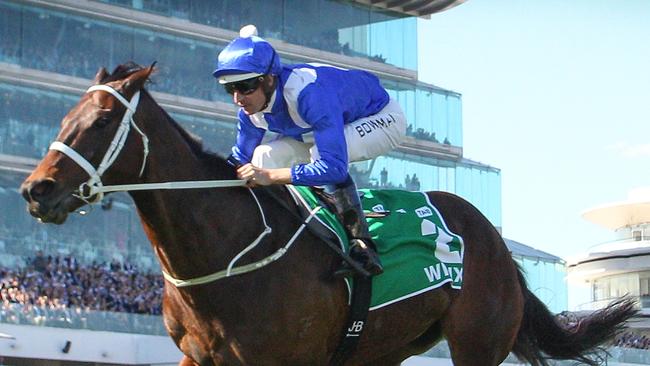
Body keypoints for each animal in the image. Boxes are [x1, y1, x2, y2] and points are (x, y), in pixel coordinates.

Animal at [19, 61, 632, 364]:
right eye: (65, 115)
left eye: (101, 121)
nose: (35, 190)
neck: (222, 253)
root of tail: (494, 239)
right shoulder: (198, 359)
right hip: (382, 350)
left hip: (476, 344)